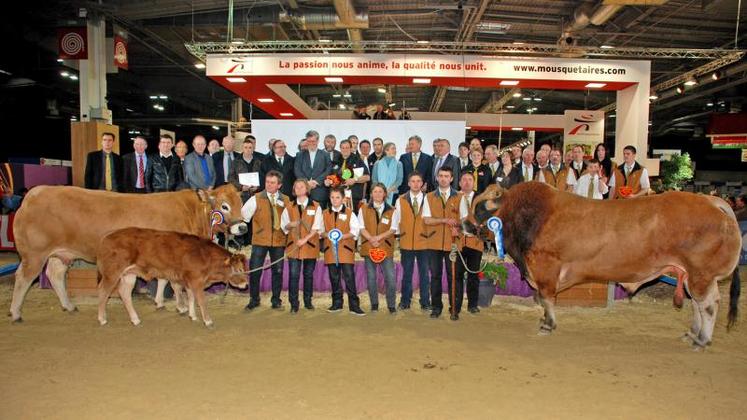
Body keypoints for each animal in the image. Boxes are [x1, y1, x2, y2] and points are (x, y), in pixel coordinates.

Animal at [95, 226, 248, 328]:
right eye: (239, 269)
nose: (246, 285)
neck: (204, 256)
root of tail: (107, 237)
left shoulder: (190, 281)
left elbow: (191, 298)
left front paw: (192, 315)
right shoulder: (196, 280)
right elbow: (201, 301)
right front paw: (208, 320)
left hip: (129, 274)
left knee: (125, 293)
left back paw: (135, 319)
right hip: (112, 273)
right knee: (103, 291)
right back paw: (102, 318)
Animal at [474, 181, 744, 348]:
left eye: (479, 210)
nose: (465, 224)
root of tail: (711, 201)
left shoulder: (546, 267)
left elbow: (547, 298)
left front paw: (547, 324)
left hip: (702, 275)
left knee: (708, 305)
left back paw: (702, 340)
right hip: (689, 274)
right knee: (698, 305)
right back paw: (693, 334)